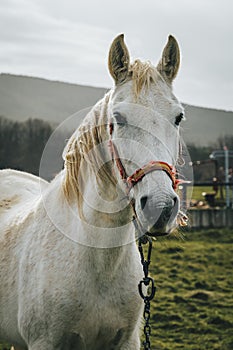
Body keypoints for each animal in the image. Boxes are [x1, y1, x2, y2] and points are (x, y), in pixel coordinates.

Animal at [0, 33, 186, 350]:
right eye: (118, 118)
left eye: (178, 118)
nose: (160, 207)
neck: (98, 261)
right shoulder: (44, 342)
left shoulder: (126, 342)